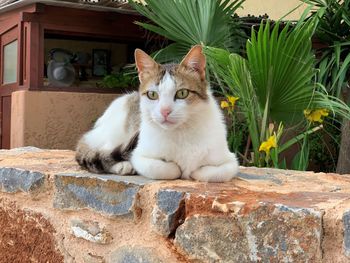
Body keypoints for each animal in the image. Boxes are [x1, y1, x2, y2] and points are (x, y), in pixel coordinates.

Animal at [76, 45, 239, 183]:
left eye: (182, 93)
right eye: (152, 95)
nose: (165, 111)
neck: (181, 132)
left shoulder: (230, 161)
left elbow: (213, 173)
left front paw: (193, 172)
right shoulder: (140, 156)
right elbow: (164, 169)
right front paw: (179, 169)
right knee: (100, 152)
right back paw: (123, 166)